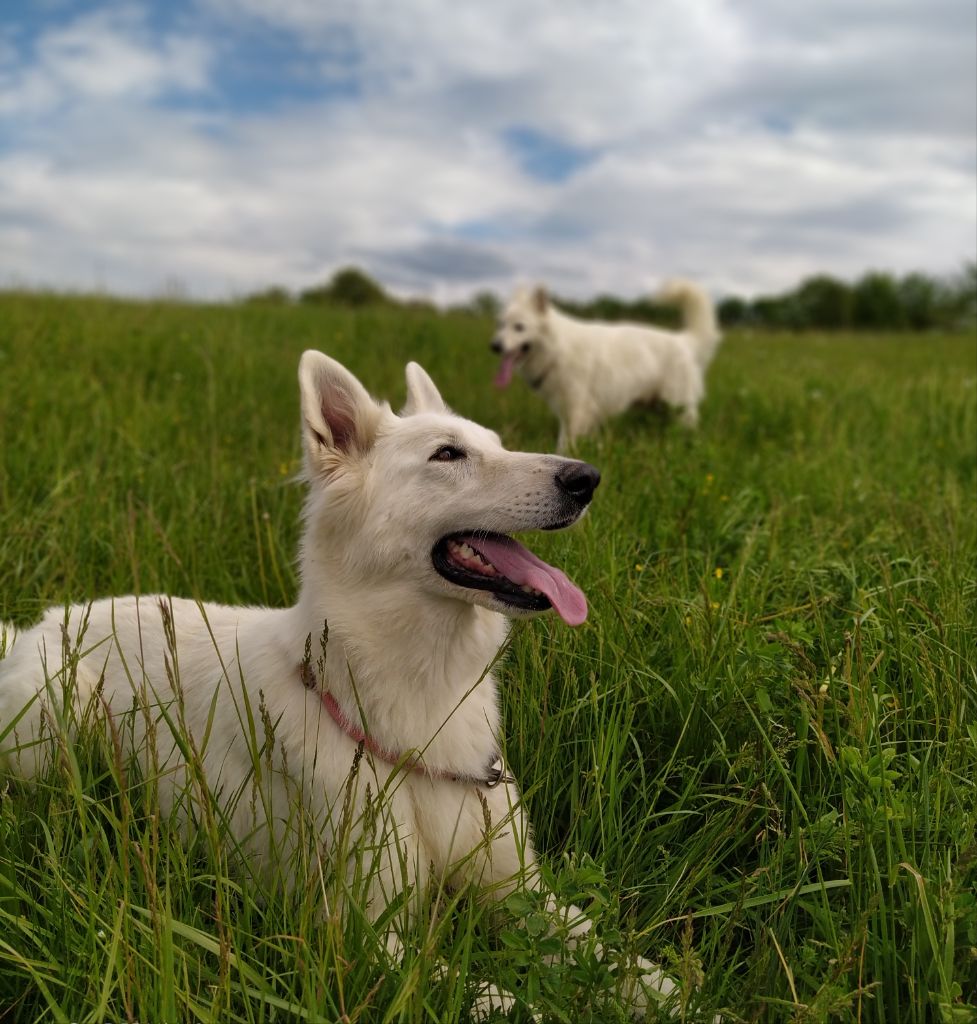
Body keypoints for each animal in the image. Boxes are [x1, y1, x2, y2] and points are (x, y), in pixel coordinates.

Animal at [0, 350, 708, 1015]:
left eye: (499, 443)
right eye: (449, 454)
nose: (587, 478)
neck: (416, 710)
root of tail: (37, 627)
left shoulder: (520, 891)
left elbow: (621, 961)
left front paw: (681, 996)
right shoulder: (364, 937)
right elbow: (512, 1004)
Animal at [491, 280, 720, 448]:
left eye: (519, 327)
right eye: (501, 325)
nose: (494, 346)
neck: (558, 349)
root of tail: (683, 340)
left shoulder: (577, 410)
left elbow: (567, 446)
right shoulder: (570, 413)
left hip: (679, 408)